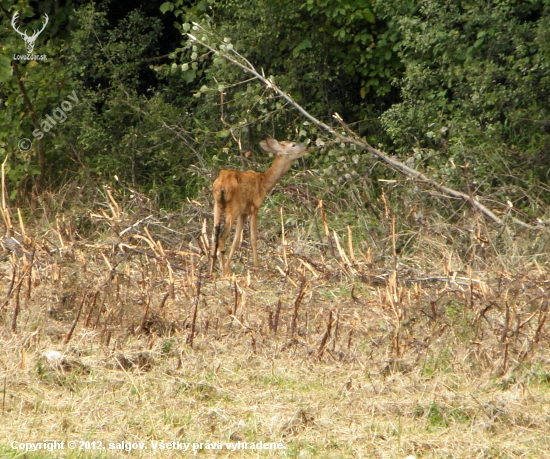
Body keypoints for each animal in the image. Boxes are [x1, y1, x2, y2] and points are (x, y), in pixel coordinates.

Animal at [210, 137, 308, 276]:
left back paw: (212, 271)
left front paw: (229, 266)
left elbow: (236, 240)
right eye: (293, 145)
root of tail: (222, 185)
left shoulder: (243, 212)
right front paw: (256, 267)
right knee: (222, 239)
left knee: (214, 237)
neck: (264, 183)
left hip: (217, 205)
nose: (306, 146)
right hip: (233, 207)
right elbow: (253, 238)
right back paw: (224, 273)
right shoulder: (255, 207)